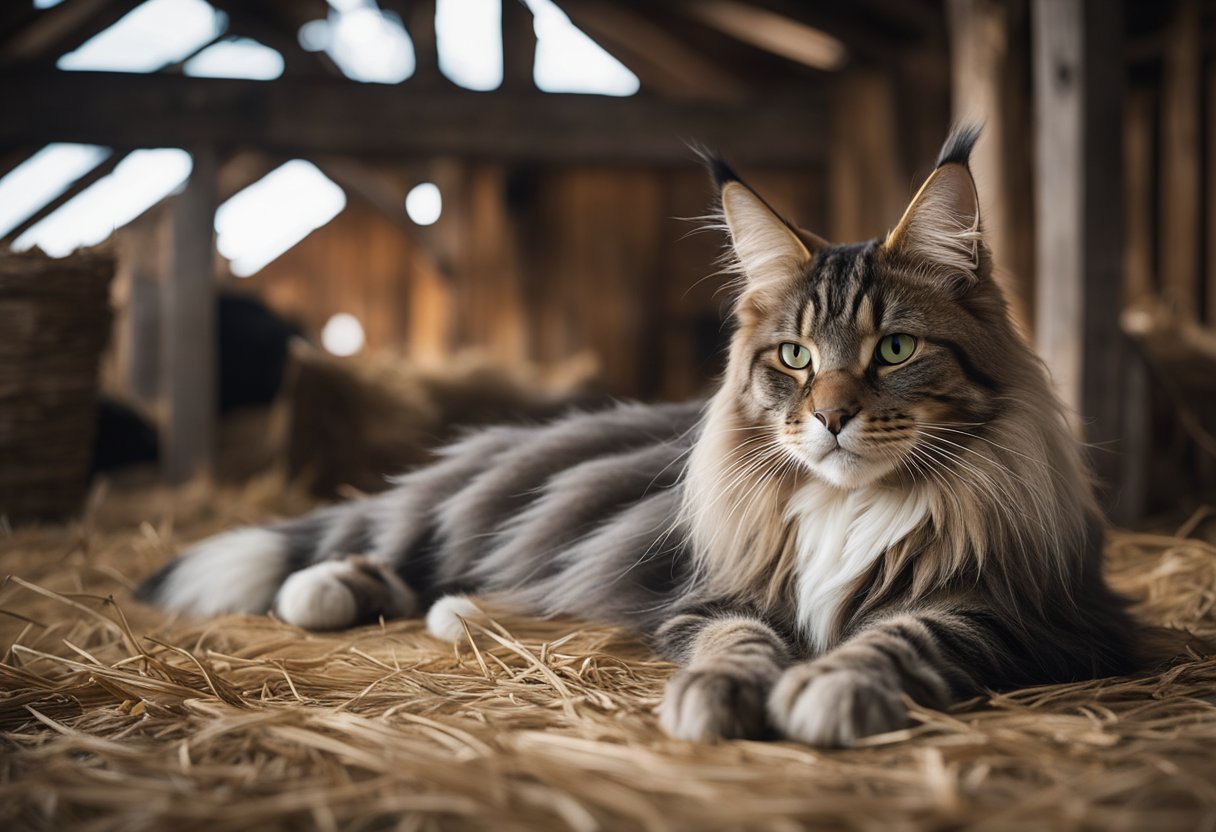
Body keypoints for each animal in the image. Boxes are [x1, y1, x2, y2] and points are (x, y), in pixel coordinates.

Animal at [142, 130, 1138, 749]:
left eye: (893, 348)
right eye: (794, 356)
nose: (829, 418)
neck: (847, 505)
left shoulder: (1026, 613)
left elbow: (903, 633)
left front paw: (833, 687)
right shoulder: (715, 596)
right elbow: (736, 643)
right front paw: (719, 698)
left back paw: (457, 611)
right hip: (477, 508)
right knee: (376, 541)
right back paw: (342, 590)